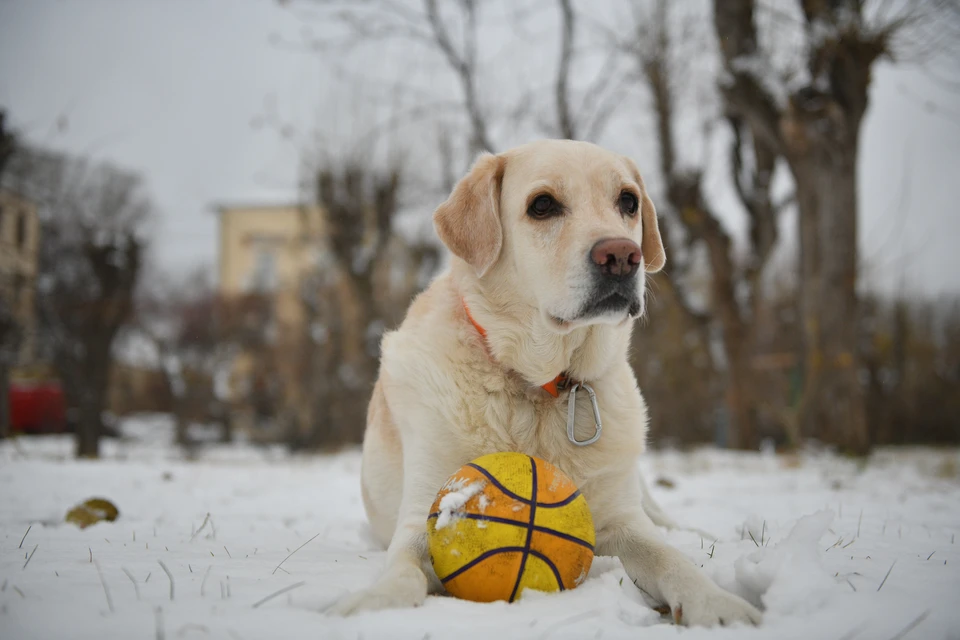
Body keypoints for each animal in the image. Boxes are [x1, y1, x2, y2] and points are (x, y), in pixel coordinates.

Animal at [332, 139, 764, 624]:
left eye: (628, 201)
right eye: (542, 205)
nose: (622, 256)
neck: (539, 386)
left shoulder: (623, 520)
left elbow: (670, 557)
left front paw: (717, 603)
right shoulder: (421, 514)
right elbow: (403, 568)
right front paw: (376, 601)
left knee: (668, 524)